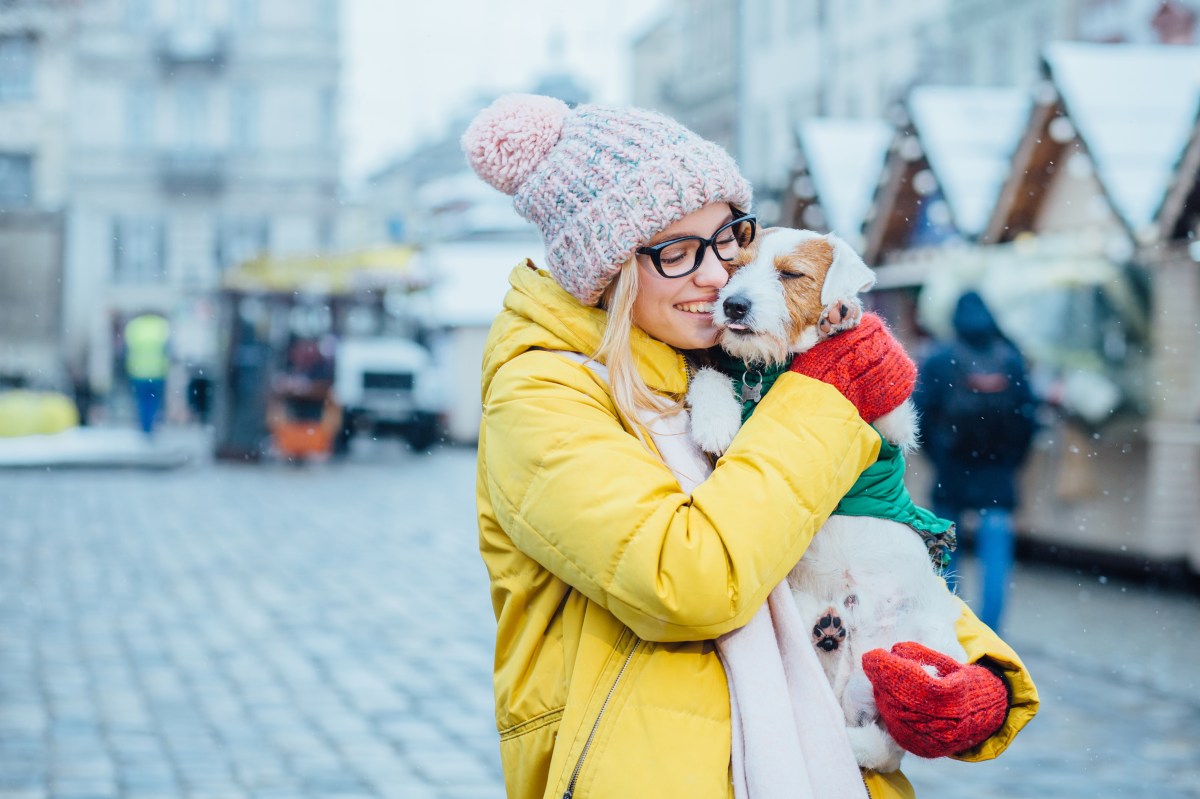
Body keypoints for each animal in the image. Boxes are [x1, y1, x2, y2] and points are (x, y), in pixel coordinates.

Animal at [691, 225, 960, 772]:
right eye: (734, 267)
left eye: (793, 274)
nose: (732, 305)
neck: (773, 370)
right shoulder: (730, 376)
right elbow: (711, 377)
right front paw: (714, 420)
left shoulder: (893, 428)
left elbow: (884, 408)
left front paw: (844, 318)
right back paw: (828, 634)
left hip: (921, 640)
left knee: (890, 732)